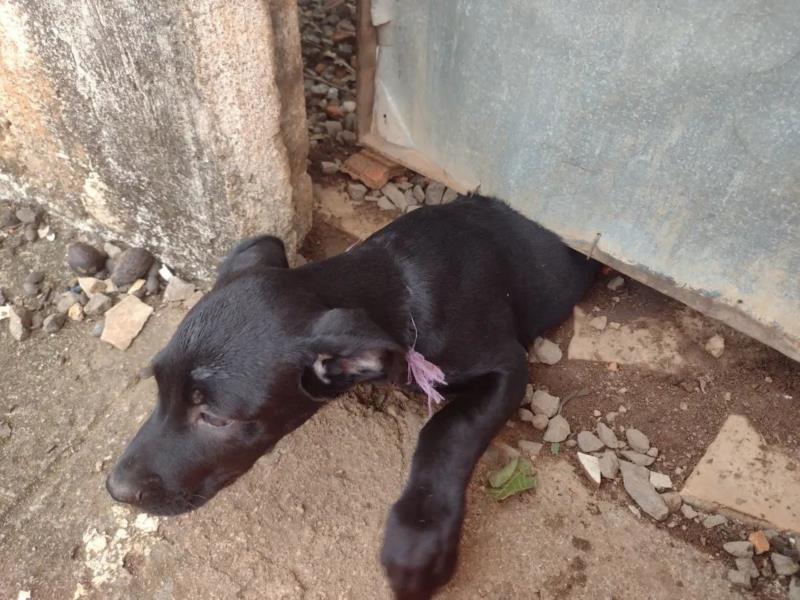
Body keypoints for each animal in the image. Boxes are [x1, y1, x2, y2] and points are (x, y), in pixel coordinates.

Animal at [108, 195, 592, 596]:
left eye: (215, 418)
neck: (397, 282)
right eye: (157, 386)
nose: (115, 490)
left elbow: (449, 428)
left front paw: (420, 537)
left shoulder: (508, 363)